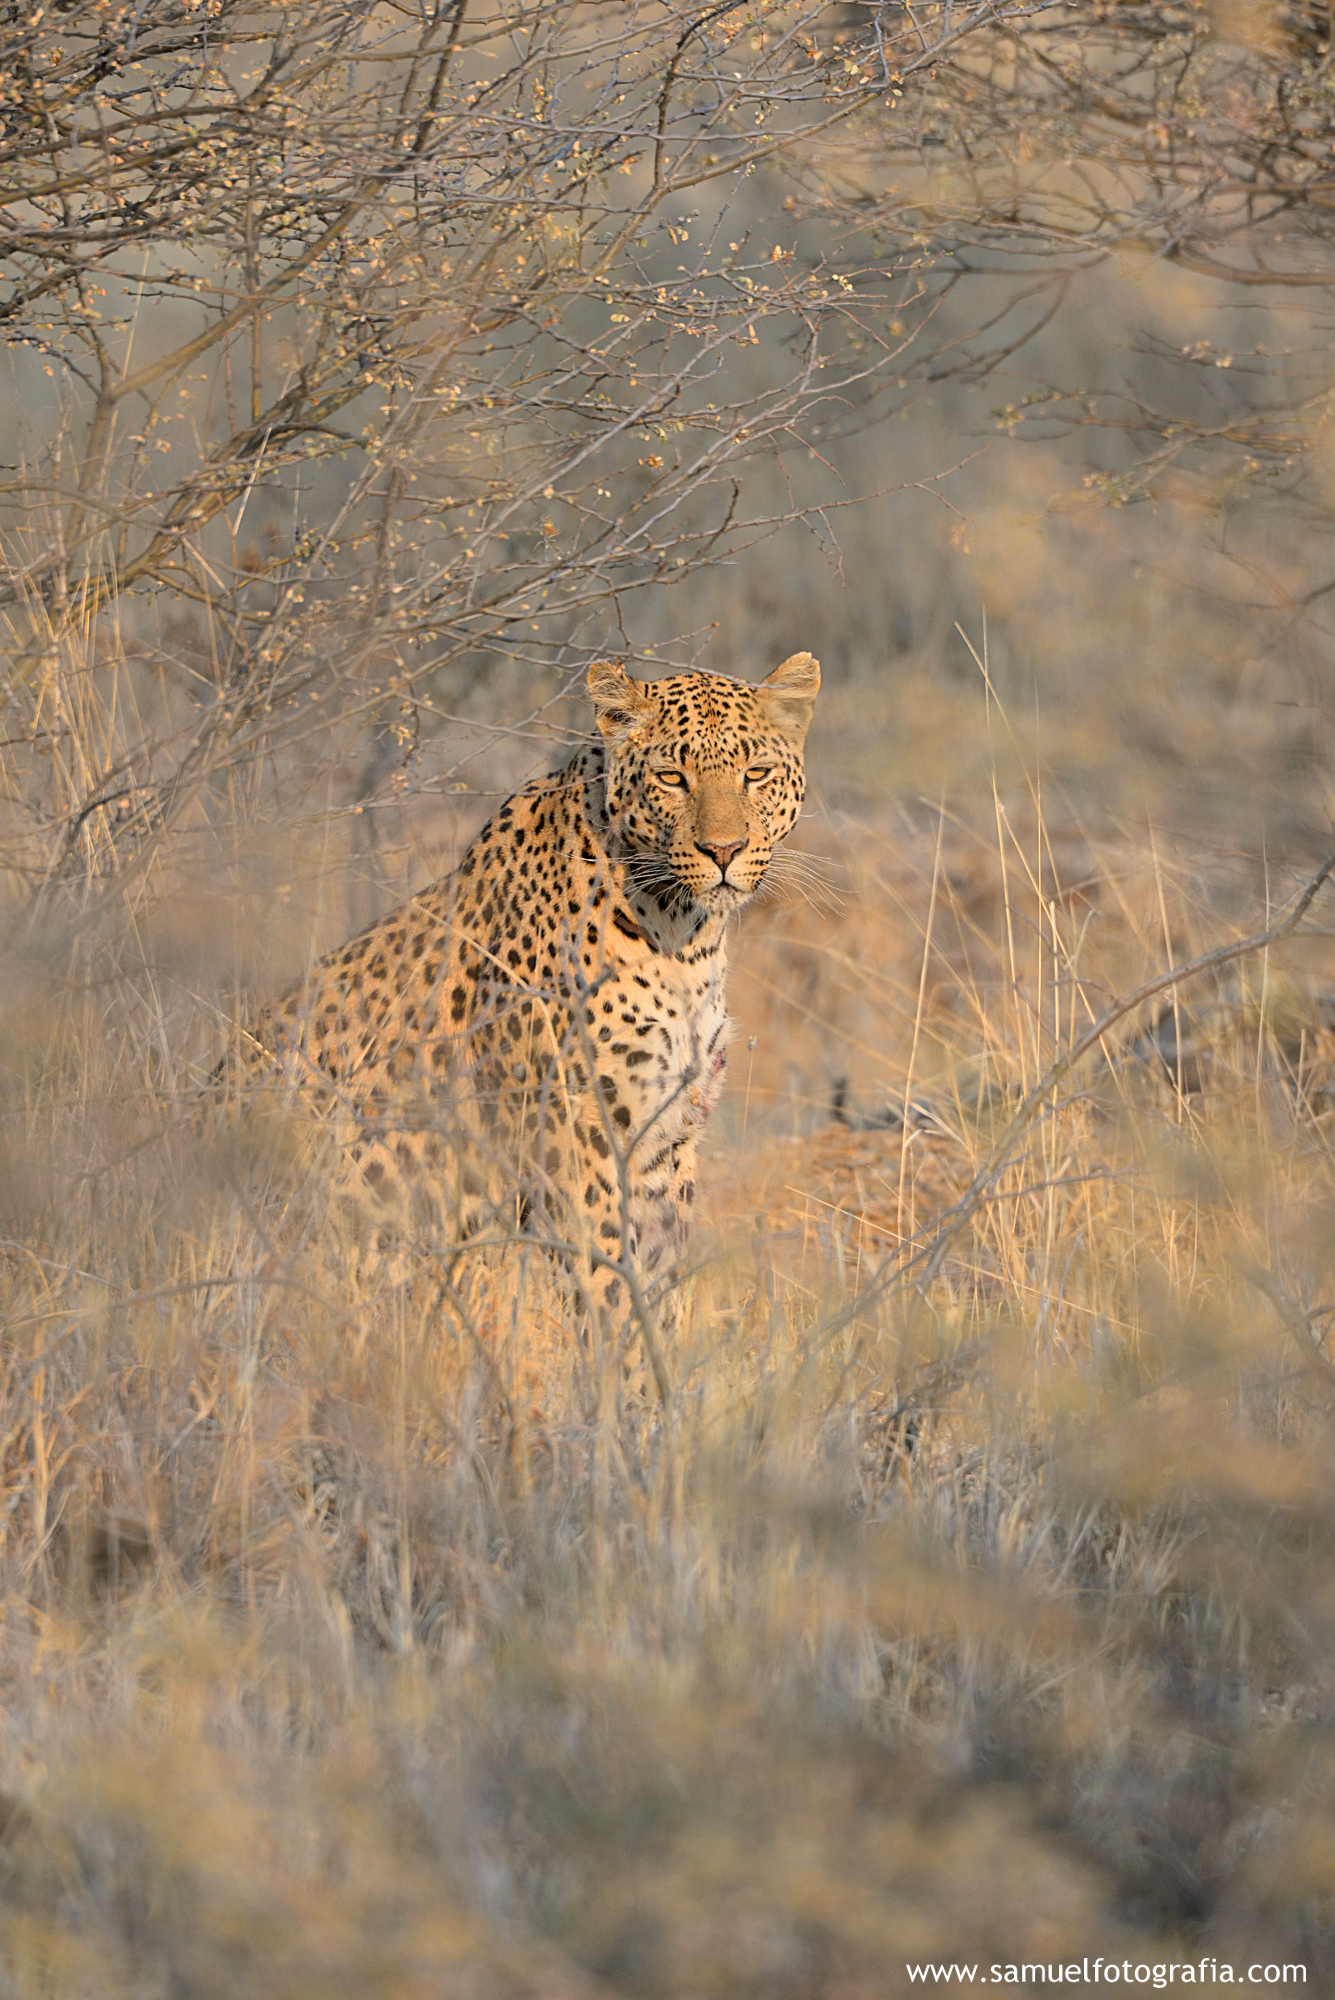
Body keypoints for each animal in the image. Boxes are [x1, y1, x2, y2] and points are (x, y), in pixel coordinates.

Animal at [225, 651, 820, 1361]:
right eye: (672, 778)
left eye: (755, 774)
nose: (724, 852)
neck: (684, 938)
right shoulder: (579, 1138)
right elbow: (612, 1288)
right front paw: (627, 1383)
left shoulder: (667, 1139)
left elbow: (661, 1285)